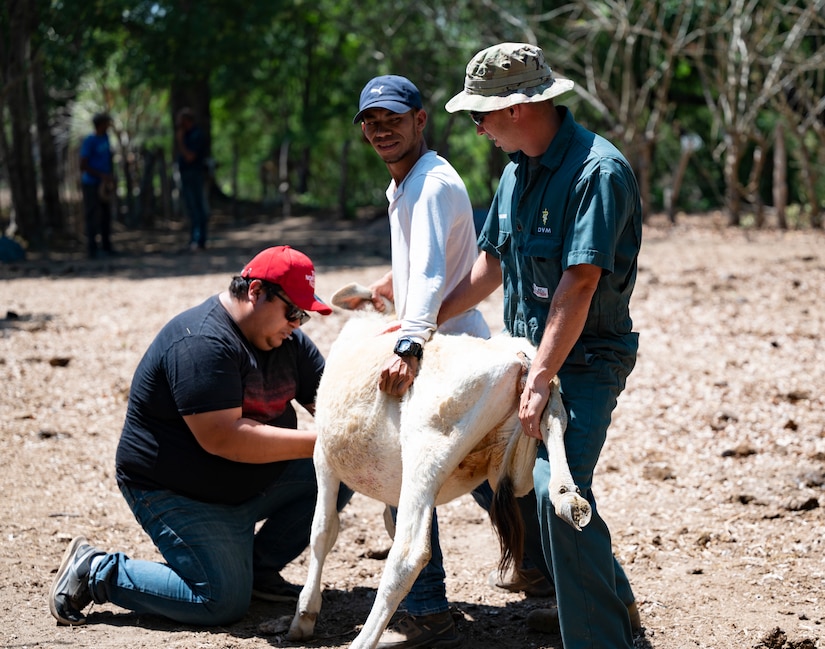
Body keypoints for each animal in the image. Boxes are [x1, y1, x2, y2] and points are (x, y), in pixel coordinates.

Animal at [286, 284, 588, 648]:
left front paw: (305, 614)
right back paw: (567, 497)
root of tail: (516, 357)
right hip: (517, 449)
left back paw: (363, 641)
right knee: (553, 417)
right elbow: (383, 520)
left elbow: (322, 530)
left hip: (427, 447)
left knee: (408, 554)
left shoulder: (323, 458)